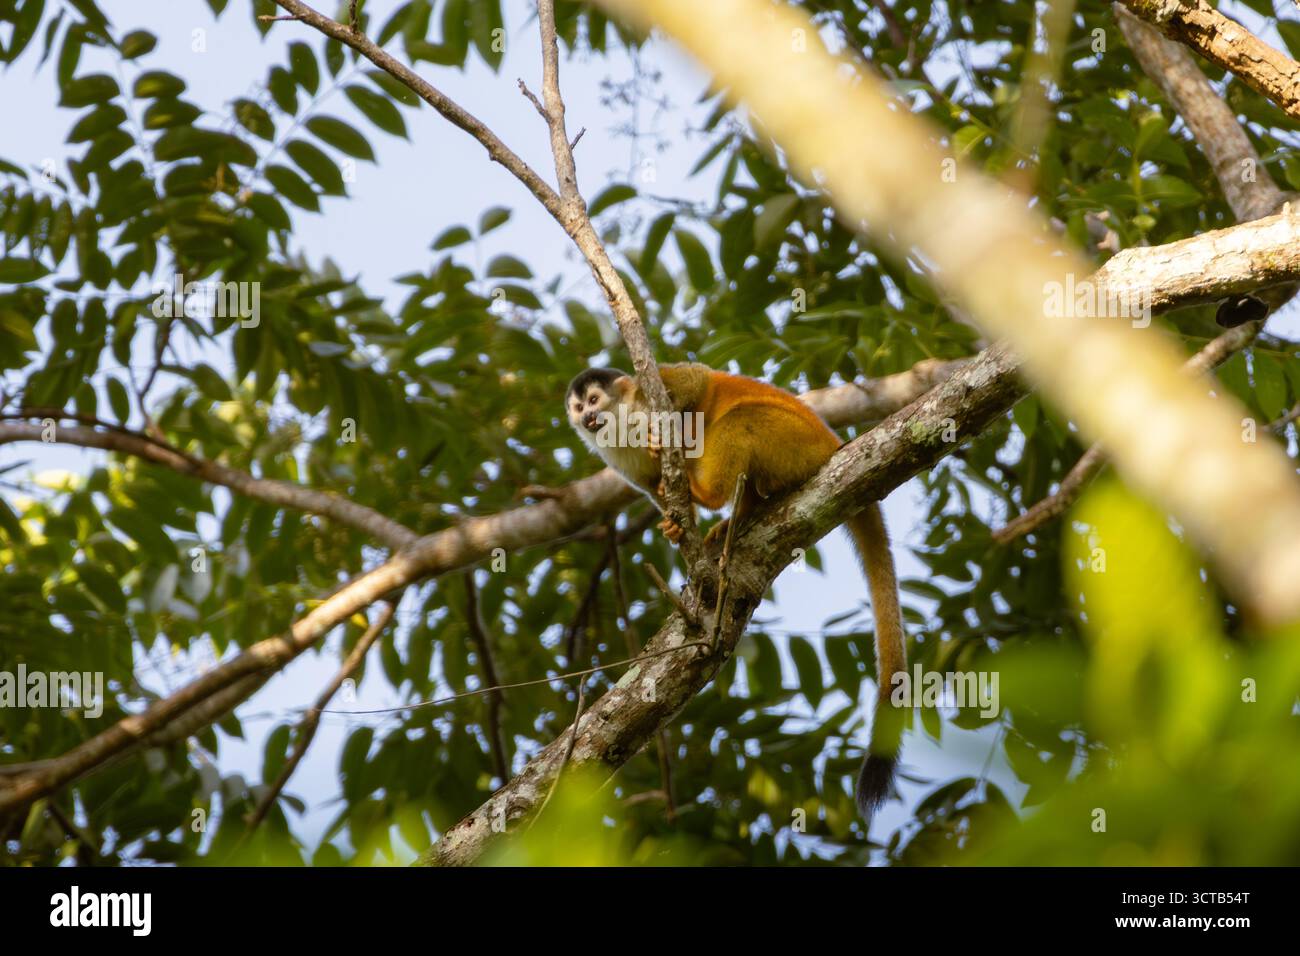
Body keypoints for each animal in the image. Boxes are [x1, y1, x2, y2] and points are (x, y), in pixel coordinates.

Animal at [565, 363, 907, 825]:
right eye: (578, 407)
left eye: (594, 400)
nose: (586, 418)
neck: (620, 425)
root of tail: (834, 445)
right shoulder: (617, 461)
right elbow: (653, 487)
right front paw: (677, 522)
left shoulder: (649, 389)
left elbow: (695, 381)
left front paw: (673, 431)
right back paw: (738, 514)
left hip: (795, 443)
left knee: (738, 419)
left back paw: (708, 491)